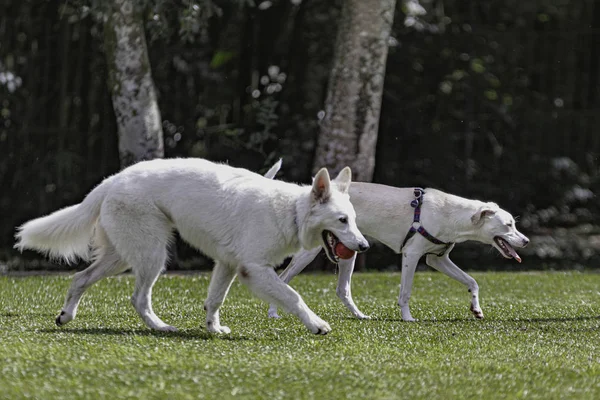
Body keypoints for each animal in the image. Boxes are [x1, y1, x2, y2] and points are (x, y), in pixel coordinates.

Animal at [14, 158, 368, 332]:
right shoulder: (254, 269)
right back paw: (160, 327)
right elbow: (293, 296)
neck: (291, 211)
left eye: (353, 219)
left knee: (80, 278)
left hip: (121, 257)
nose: (364, 247)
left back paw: (65, 317)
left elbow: (214, 300)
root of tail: (112, 180)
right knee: (137, 298)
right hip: (152, 255)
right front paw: (317, 325)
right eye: (341, 221)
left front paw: (213, 328)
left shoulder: (228, 265)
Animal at [264, 162, 528, 322]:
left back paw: (360, 316)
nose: (525, 241)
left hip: (350, 250)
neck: (451, 213)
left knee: (342, 290)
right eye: (508, 225)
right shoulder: (412, 255)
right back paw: (274, 312)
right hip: (310, 253)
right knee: (282, 278)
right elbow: (406, 292)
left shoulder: (437, 260)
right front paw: (408, 318)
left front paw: (476, 309)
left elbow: (472, 282)